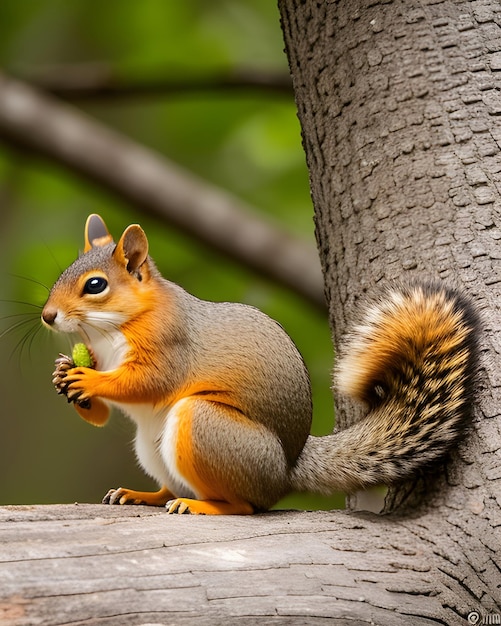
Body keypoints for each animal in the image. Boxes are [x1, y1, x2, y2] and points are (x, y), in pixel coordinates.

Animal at [41, 213, 478, 512]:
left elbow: (149, 381)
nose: (47, 316)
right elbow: (102, 411)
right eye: (61, 274)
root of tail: (284, 473)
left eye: (96, 285)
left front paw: (88, 380)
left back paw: (202, 506)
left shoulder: (170, 344)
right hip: (151, 449)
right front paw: (64, 372)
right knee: (173, 486)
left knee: (244, 506)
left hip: (207, 427)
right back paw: (141, 494)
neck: (110, 329)